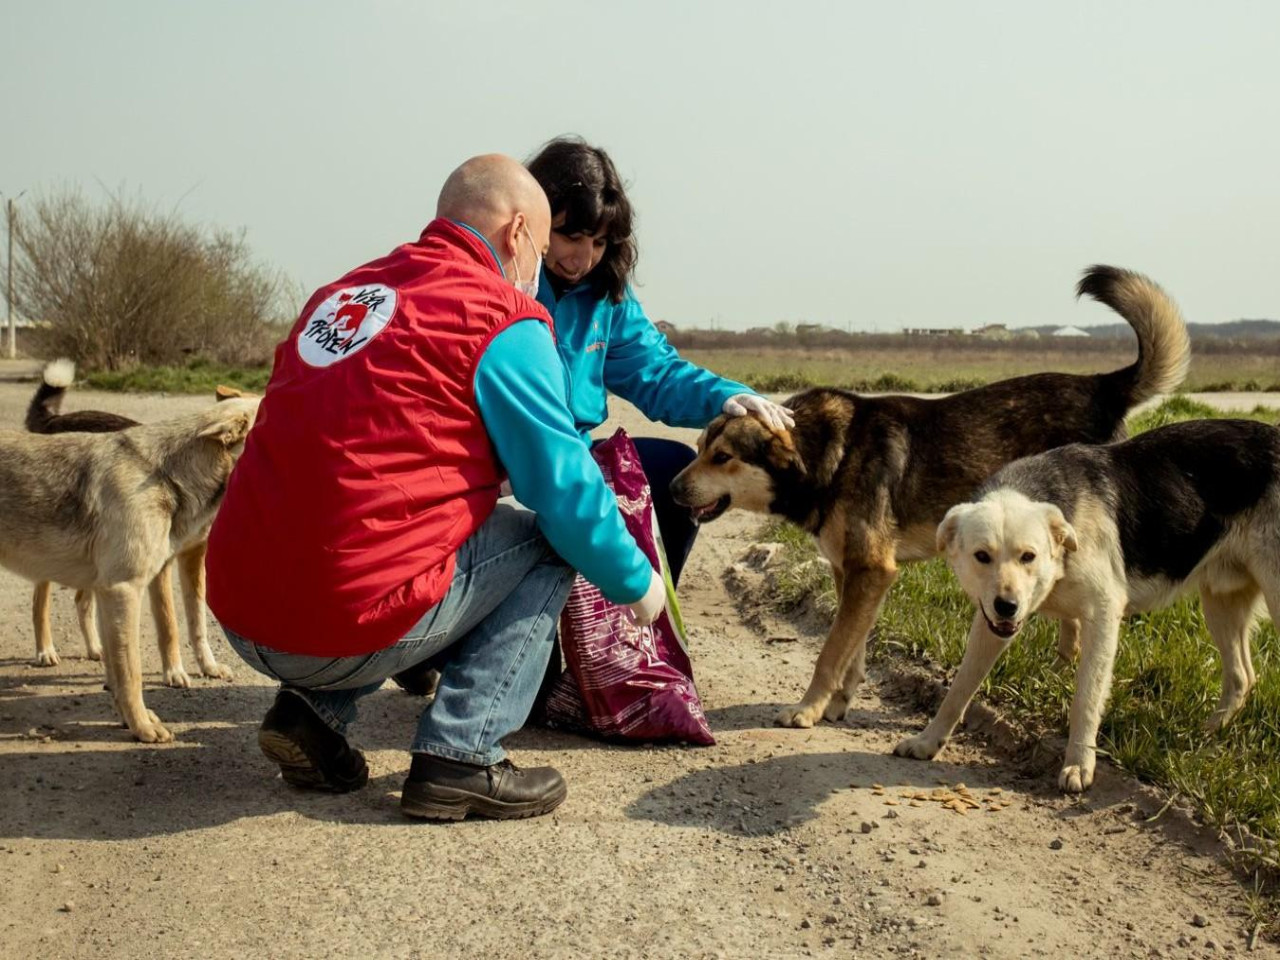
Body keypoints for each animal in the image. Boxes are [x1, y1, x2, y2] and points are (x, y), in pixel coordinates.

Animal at [0, 399, 259, 742]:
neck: (167, 475)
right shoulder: (125, 591)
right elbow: (132, 671)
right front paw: (143, 727)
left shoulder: (113, 594)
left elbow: (117, 671)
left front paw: (130, 719)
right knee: (39, 606)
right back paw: (46, 652)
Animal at [670, 263, 1187, 727]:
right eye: (700, 447)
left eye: (722, 457)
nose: (672, 490)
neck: (830, 453)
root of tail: (1102, 385)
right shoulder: (853, 573)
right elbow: (852, 650)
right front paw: (838, 704)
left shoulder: (870, 571)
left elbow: (831, 651)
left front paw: (807, 709)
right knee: (1073, 624)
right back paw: (1059, 673)